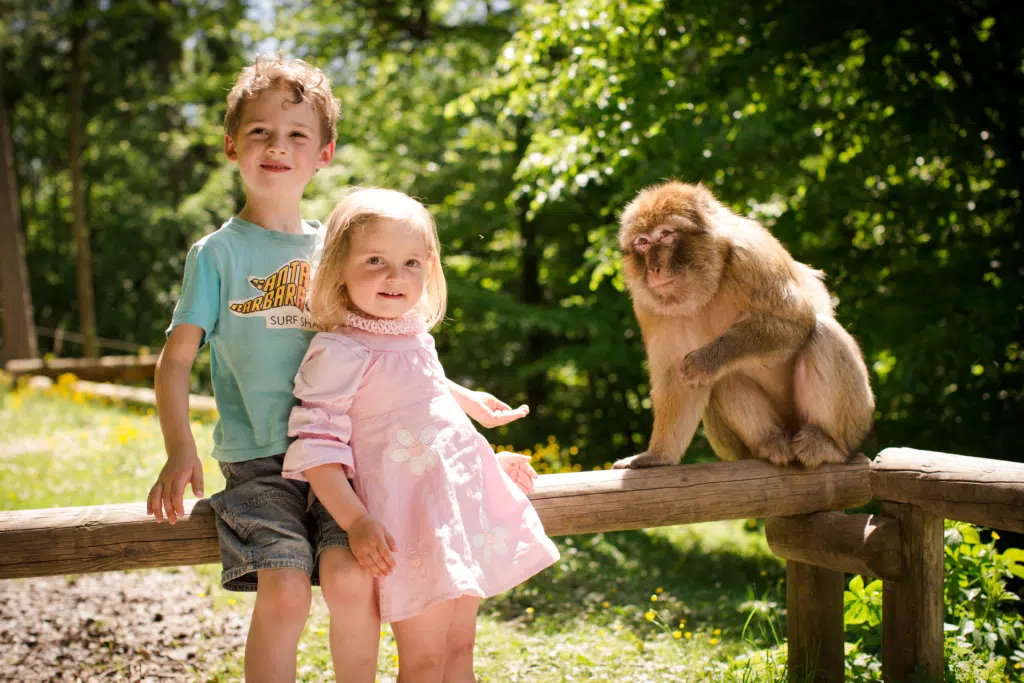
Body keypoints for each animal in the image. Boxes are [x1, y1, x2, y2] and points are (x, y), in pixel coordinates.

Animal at [610, 181, 876, 471]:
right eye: (643, 242)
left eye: (666, 234)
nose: (654, 268)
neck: (708, 286)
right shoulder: (650, 307)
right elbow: (676, 379)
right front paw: (656, 456)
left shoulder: (751, 256)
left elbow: (796, 320)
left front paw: (706, 359)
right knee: (725, 377)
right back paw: (771, 443)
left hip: (857, 418)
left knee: (823, 333)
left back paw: (828, 445)